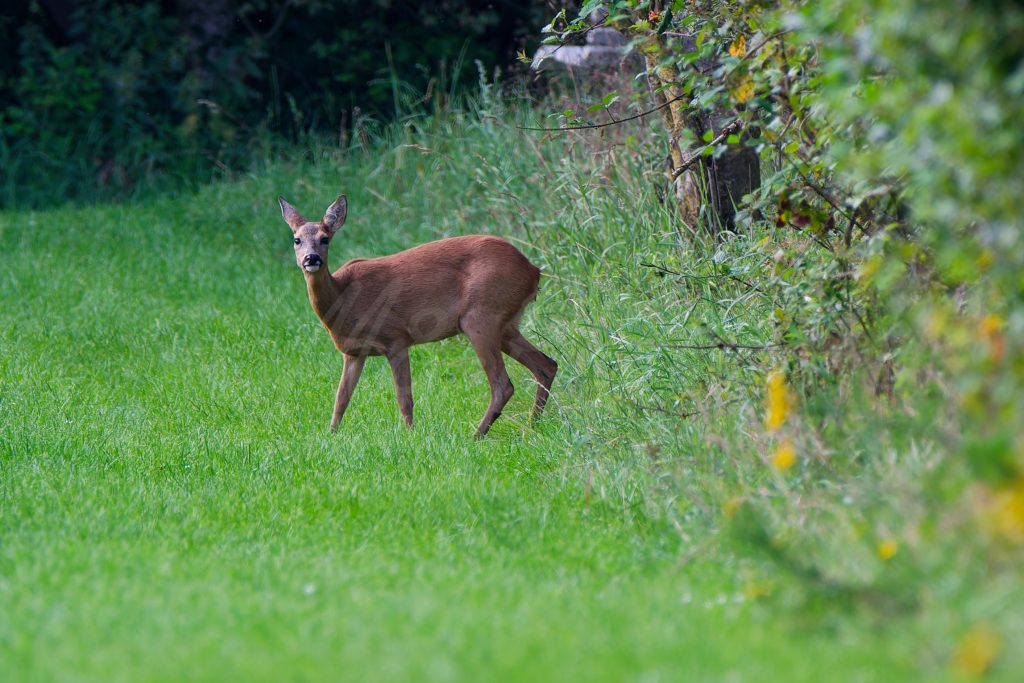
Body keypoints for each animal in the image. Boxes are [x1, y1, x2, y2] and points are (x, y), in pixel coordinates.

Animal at [278, 194, 558, 438]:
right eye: (296, 240)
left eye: (325, 239)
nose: (311, 258)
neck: (344, 299)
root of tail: (533, 271)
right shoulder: (354, 353)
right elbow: (341, 399)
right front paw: (331, 436)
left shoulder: (396, 337)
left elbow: (404, 398)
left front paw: (410, 436)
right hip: (506, 324)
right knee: (546, 364)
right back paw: (531, 427)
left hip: (481, 317)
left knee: (502, 384)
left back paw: (477, 435)